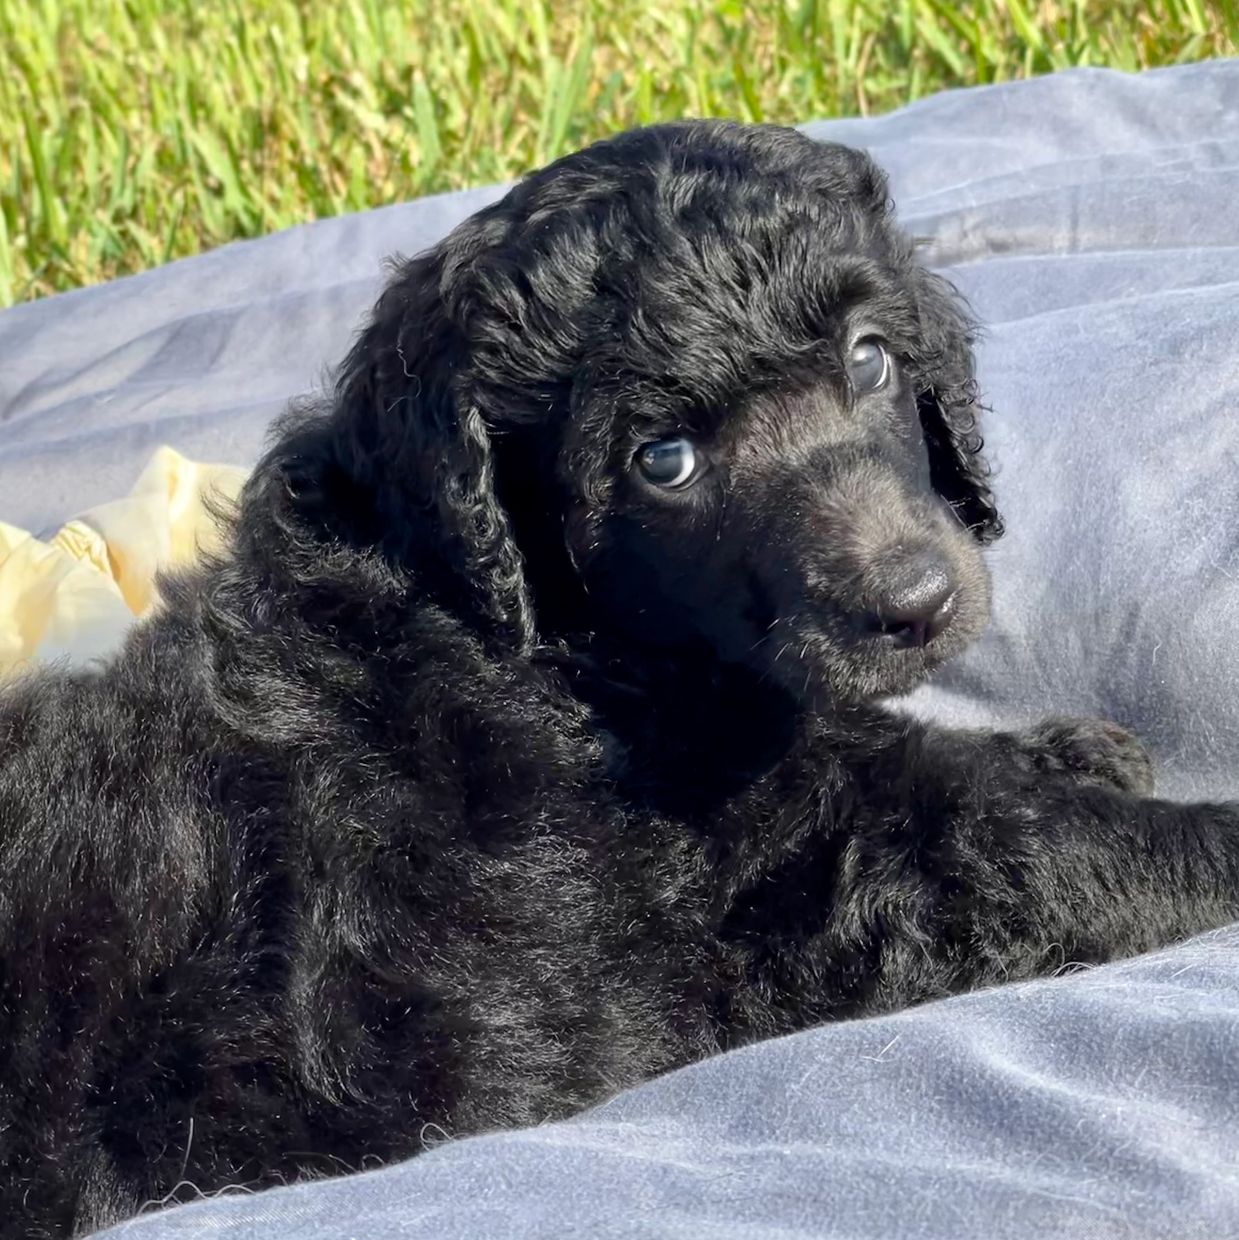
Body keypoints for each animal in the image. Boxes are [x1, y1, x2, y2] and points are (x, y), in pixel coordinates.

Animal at [2, 120, 1239, 1235]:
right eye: (665, 462)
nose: (919, 603)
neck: (548, 641)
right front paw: (1183, 824)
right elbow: (1039, 840)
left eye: (870, 357)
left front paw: (1072, 744)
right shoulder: (829, 882)